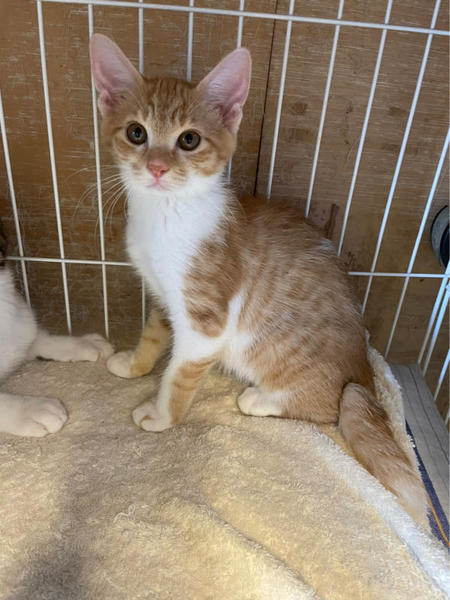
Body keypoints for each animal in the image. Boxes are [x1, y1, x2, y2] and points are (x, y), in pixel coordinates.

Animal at [90, 34, 425, 519]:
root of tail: (362, 374)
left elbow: (179, 376)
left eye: (188, 139)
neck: (167, 216)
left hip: (276, 355)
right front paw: (135, 364)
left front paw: (162, 415)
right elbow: (153, 333)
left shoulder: (206, 322)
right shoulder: (164, 295)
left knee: (329, 408)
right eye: (137, 133)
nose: (156, 167)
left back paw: (262, 399)